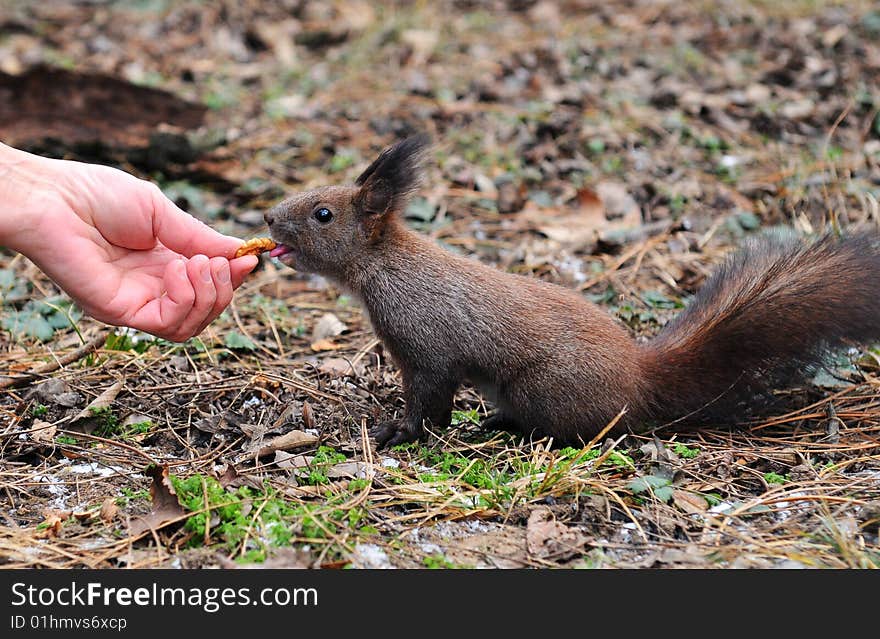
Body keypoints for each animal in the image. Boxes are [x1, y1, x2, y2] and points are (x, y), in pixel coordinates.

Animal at [266, 134, 880, 444]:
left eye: (322, 214)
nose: (269, 219)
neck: (388, 268)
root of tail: (639, 380)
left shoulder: (427, 348)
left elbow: (429, 399)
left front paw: (400, 431)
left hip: (549, 389)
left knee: (589, 433)